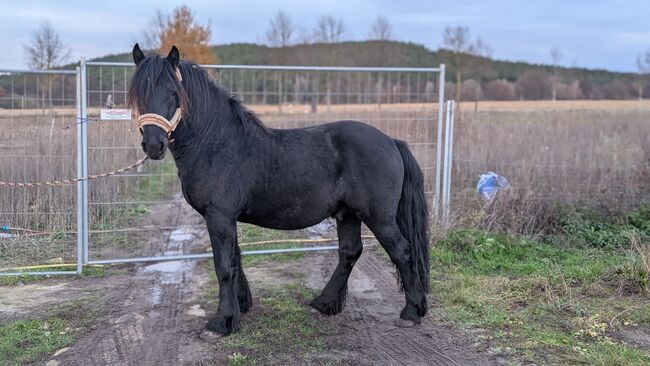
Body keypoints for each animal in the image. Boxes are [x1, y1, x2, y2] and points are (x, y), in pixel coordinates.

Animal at [128, 44, 428, 336]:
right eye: (138, 95)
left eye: (173, 93)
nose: (153, 145)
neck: (216, 143)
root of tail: (391, 141)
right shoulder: (225, 217)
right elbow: (235, 259)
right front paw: (240, 307)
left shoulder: (219, 216)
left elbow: (223, 266)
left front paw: (221, 323)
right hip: (347, 214)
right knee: (350, 252)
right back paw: (324, 303)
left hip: (378, 217)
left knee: (402, 251)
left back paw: (411, 312)